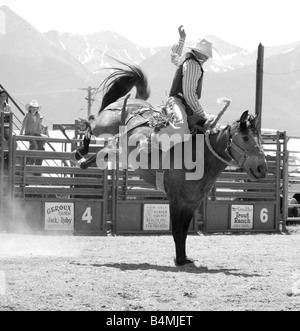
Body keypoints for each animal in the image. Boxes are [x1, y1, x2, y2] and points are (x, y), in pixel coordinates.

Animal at [72, 59, 268, 268]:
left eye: (259, 138)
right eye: (246, 137)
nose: (261, 168)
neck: (199, 156)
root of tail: (135, 101)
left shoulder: (192, 203)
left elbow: (184, 232)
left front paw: (184, 258)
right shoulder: (175, 200)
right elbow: (176, 231)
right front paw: (180, 260)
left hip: (116, 148)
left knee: (98, 153)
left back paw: (82, 159)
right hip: (103, 125)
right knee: (91, 121)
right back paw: (80, 149)